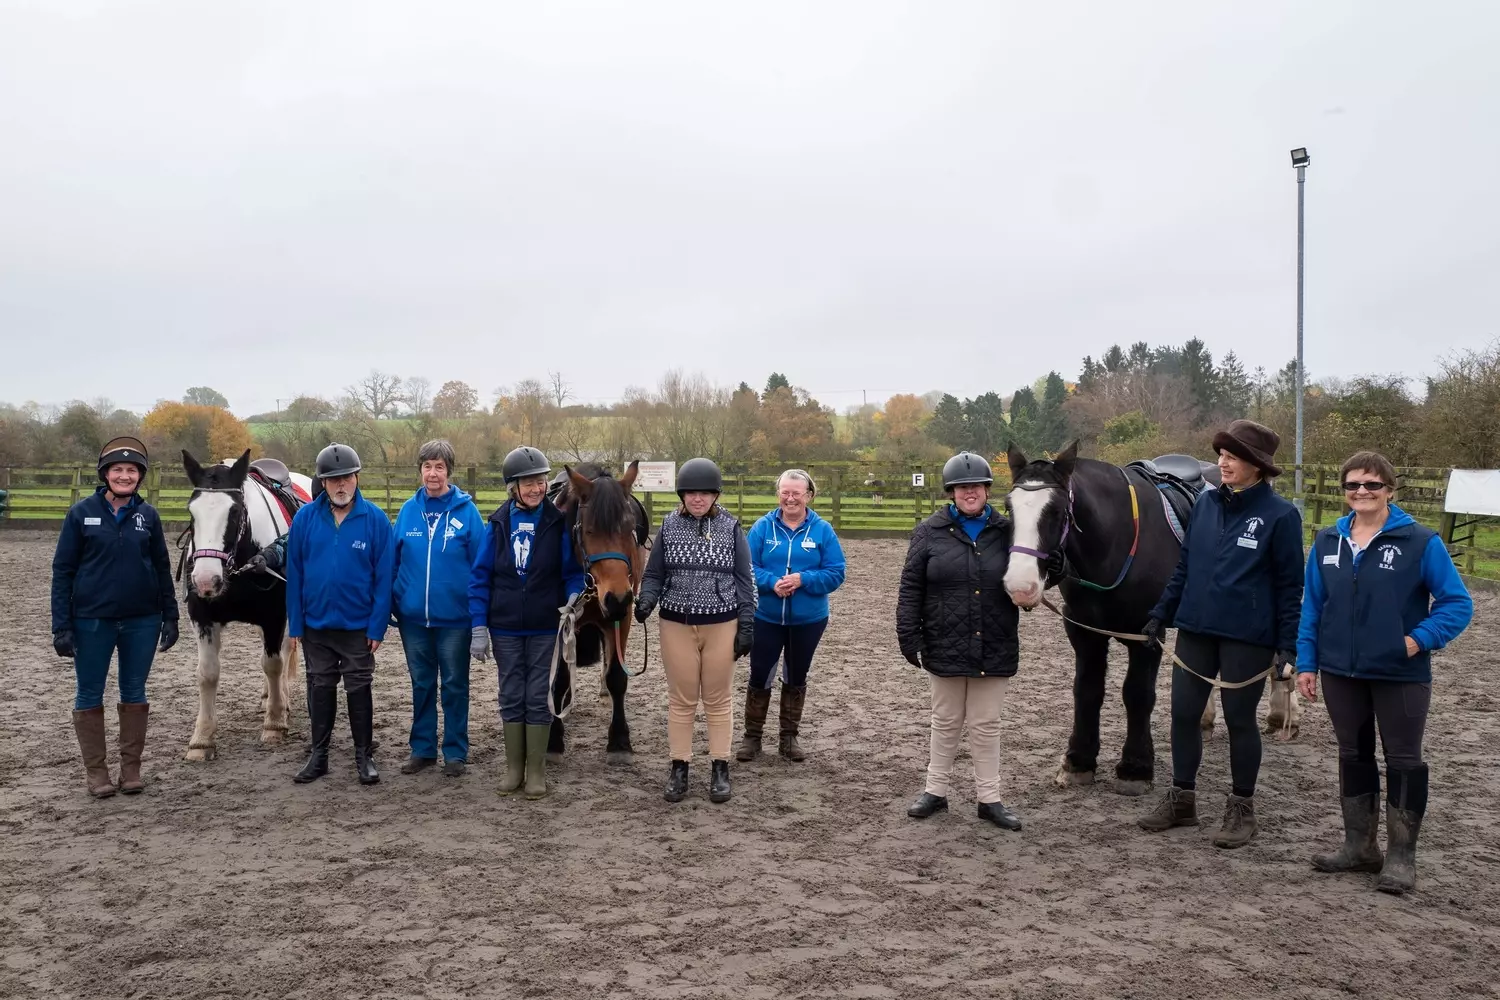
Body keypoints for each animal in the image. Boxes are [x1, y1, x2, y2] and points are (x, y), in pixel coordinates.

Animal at [178, 450, 312, 761]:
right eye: (192, 513)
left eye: (235, 512)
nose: (206, 579)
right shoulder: (202, 617)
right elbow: (207, 673)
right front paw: (201, 740)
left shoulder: (274, 616)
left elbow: (273, 664)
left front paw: (274, 724)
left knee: (283, 652)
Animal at [545, 460, 649, 766]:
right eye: (589, 530)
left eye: (630, 529)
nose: (617, 597)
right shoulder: (560, 621)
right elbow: (559, 678)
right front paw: (554, 740)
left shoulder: (621, 617)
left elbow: (617, 676)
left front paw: (620, 742)